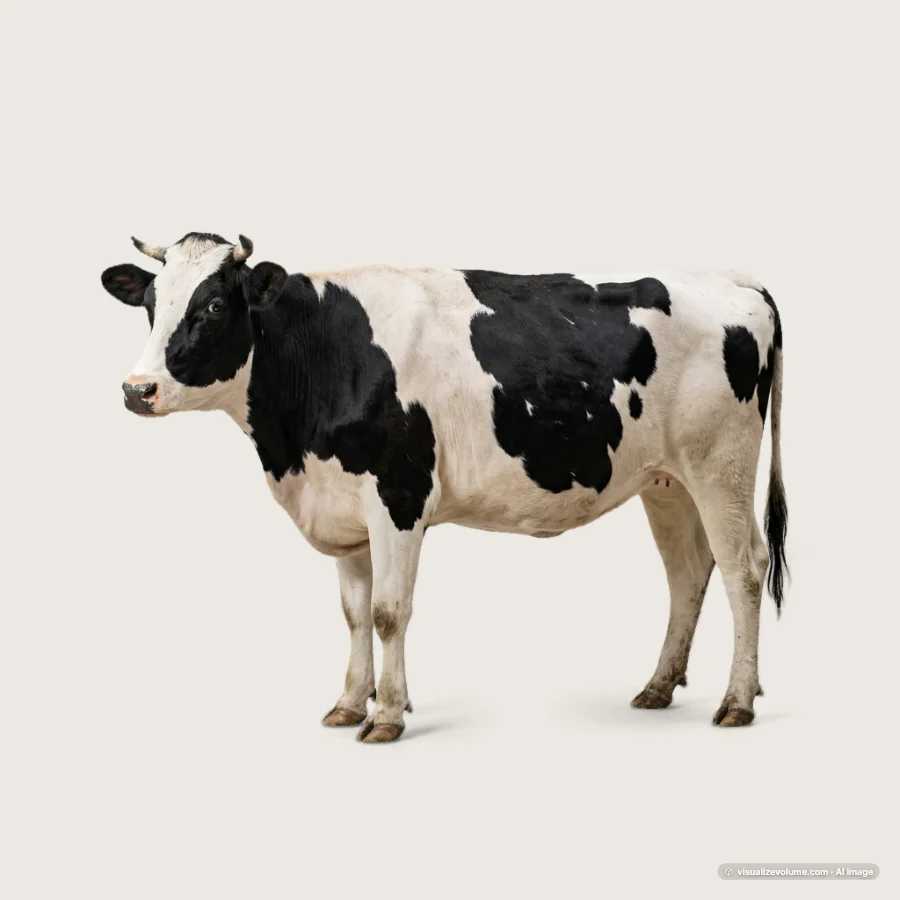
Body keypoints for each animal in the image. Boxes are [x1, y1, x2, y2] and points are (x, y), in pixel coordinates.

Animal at [101, 232, 788, 743]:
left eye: (215, 306)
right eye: (151, 304)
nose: (137, 389)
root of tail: (734, 279)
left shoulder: (398, 496)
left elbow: (388, 612)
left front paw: (386, 714)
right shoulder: (344, 506)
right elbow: (353, 614)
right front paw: (348, 703)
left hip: (721, 466)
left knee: (743, 569)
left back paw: (736, 701)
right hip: (666, 481)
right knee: (688, 573)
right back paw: (659, 686)